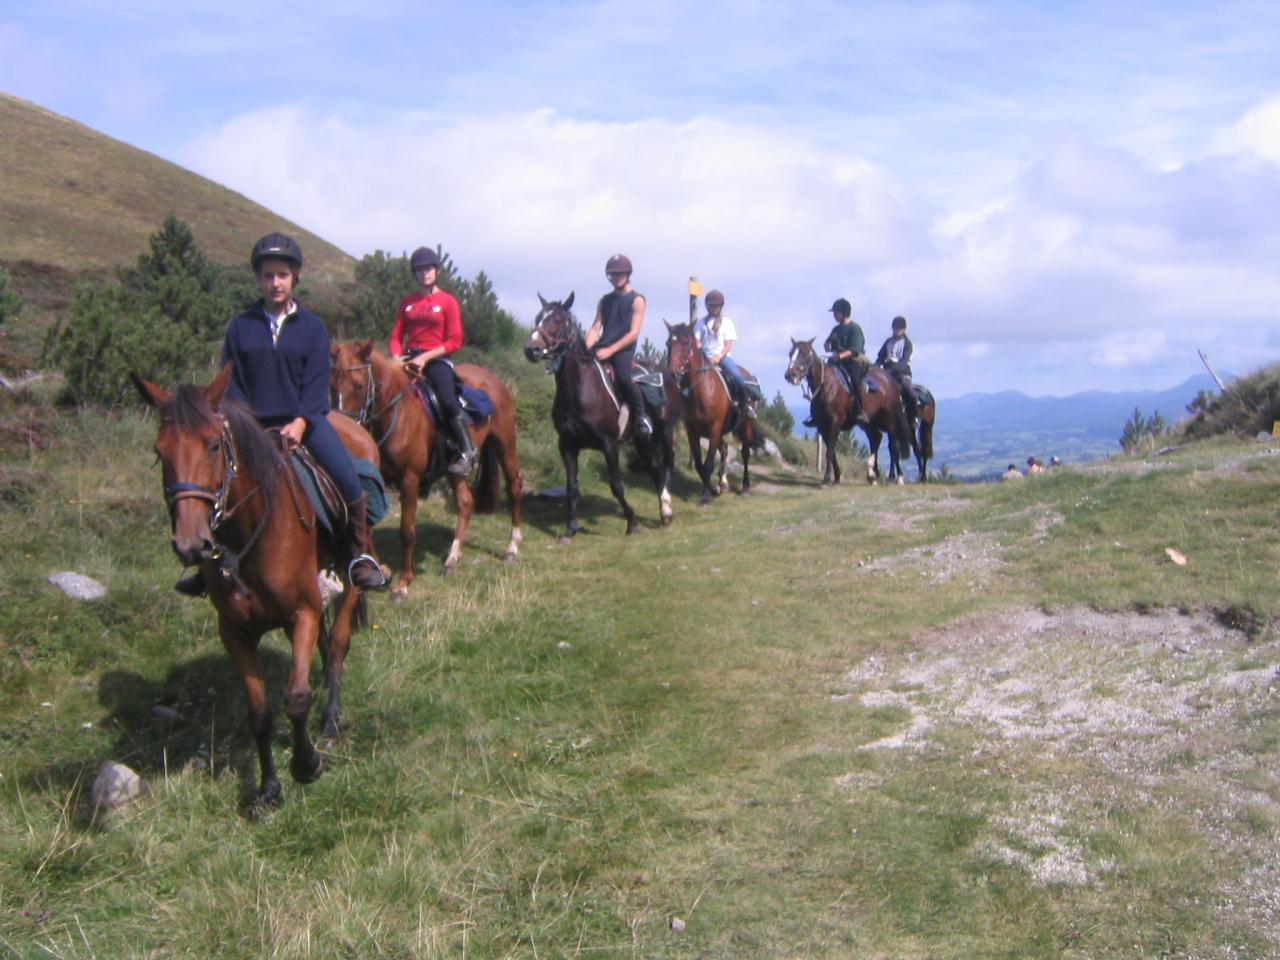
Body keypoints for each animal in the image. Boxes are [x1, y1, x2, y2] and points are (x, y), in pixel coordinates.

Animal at [136, 363, 373, 808]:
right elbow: (259, 712)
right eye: (160, 452)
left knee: (337, 643)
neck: (252, 536)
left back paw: (331, 720)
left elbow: (295, 699)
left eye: (214, 445)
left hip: (350, 577)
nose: (192, 544)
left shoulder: (301, 613)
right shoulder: (236, 632)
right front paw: (268, 788)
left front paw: (306, 763)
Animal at [335, 337, 529, 599]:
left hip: (505, 444)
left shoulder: (409, 481)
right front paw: (381, 570)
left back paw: (511, 548)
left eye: (357, 386)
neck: (398, 414)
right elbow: (365, 528)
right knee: (465, 502)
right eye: (331, 383)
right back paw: (451, 560)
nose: (345, 430)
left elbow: (407, 532)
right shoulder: (378, 481)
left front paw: (403, 583)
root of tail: (495, 380)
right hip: (455, 468)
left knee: (514, 488)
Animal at [522, 293, 680, 542]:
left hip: (665, 431)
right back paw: (663, 513)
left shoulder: (609, 444)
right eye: (539, 318)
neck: (580, 389)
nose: (531, 349)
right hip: (642, 439)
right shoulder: (567, 445)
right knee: (655, 468)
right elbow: (572, 488)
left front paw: (632, 523)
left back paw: (666, 508)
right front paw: (570, 529)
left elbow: (616, 486)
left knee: (666, 464)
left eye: (557, 320)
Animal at [665, 321, 752, 504]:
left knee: (745, 453)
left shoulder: (714, 428)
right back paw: (723, 483)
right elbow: (699, 464)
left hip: (745, 426)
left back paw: (745, 487)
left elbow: (708, 463)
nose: (672, 374)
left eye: (685, 343)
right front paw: (713, 489)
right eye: (668, 344)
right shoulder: (692, 431)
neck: (702, 390)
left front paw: (706, 496)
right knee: (724, 449)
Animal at [778, 340, 921, 488]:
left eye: (805, 354)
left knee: (894, 448)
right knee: (876, 439)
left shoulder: (835, 421)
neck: (827, 385)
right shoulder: (822, 426)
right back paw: (872, 475)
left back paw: (898, 477)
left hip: (890, 419)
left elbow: (830, 451)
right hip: (869, 423)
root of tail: (891, 380)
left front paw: (826, 479)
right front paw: (837, 477)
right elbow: (832, 451)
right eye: (790, 353)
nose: (790, 375)